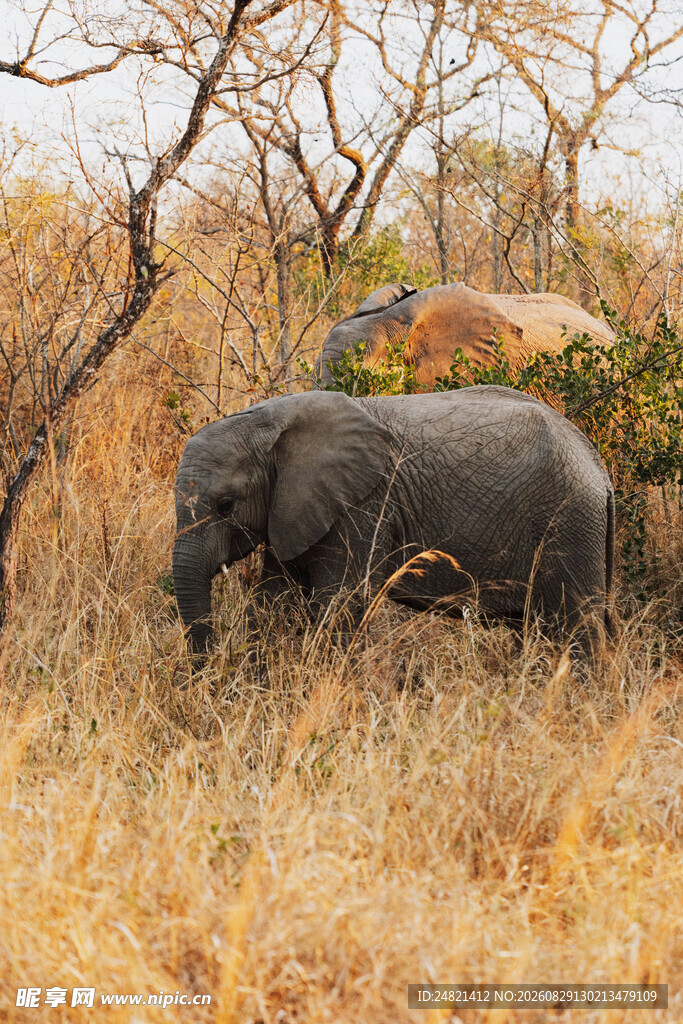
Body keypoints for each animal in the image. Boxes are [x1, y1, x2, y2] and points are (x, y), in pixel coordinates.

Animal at [172, 387, 614, 660]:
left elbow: (338, 604)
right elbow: (275, 599)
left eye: (226, 506)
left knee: (577, 628)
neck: (269, 418)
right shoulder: (294, 507)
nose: (207, 667)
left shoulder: (363, 505)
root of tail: (601, 471)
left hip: (570, 521)